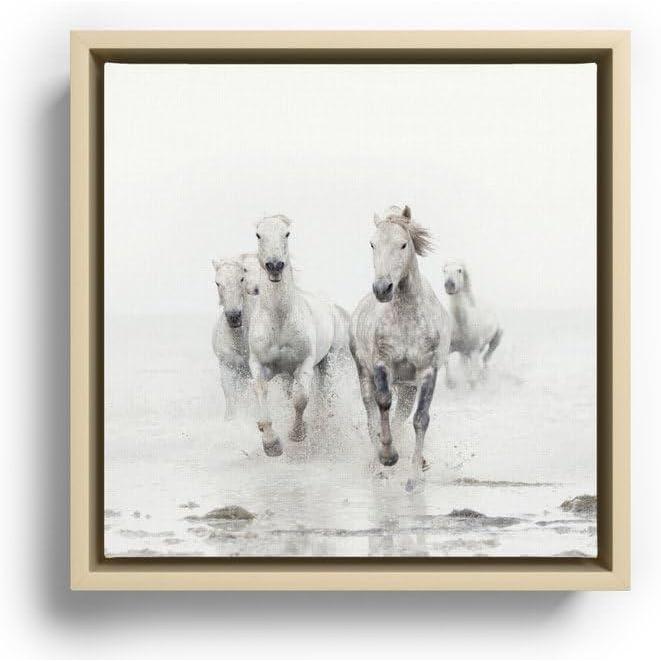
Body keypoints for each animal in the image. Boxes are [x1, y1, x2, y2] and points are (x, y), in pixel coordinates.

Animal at [248, 214, 351, 457]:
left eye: (286, 234)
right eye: (258, 234)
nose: (275, 266)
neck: (279, 320)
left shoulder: (304, 365)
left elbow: (301, 399)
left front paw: (297, 434)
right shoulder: (259, 364)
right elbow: (261, 390)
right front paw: (271, 443)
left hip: (327, 362)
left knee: (323, 394)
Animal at [350, 205, 451, 491]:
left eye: (403, 244)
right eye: (372, 244)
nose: (382, 288)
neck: (406, 315)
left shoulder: (427, 370)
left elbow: (420, 419)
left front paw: (414, 477)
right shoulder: (382, 364)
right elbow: (383, 402)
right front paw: (388, 457)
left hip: (407, 387)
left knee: (401, 415)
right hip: (364, 372)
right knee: (371, 411)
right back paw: (377, 464)